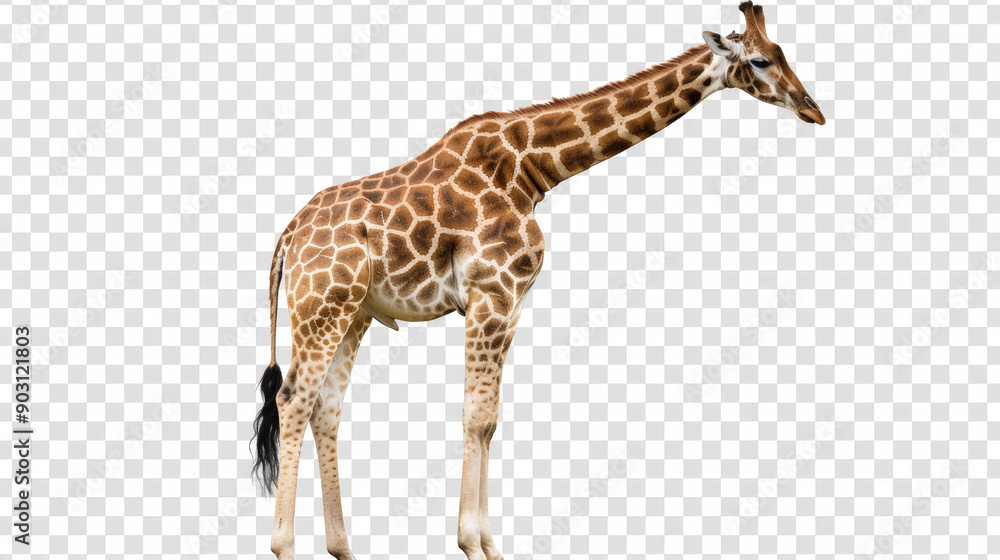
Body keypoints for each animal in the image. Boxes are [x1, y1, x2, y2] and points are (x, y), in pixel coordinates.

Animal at [252, 3, 824, 559]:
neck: (533, 167)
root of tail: (287, 237)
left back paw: (342, 547)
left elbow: (490, 420)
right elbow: (475, 416)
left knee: (326, 408)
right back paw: (284, 545)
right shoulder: (491, 293)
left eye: (782, 52)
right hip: (322, 306)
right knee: (293, 400)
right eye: (760, 61)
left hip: (354, 313)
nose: (813, 110)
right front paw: (471, 543)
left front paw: (489, 545)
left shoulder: (511, 304)